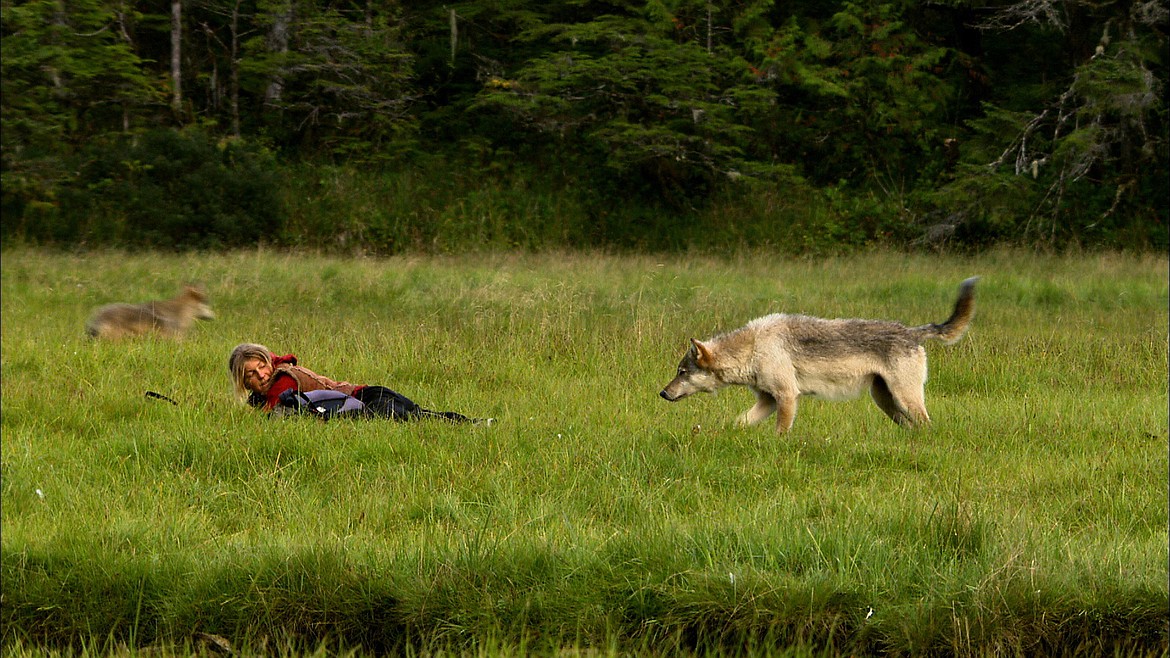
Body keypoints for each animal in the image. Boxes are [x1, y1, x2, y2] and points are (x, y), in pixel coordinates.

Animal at [659, 275, 978, 430]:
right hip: (886, 401)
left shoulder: (787, 397)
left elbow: (780, 432)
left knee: (927, 425)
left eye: (682, 372)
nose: (662, 393)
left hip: (904, 398)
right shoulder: (768, 400)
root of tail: (912, 331)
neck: (753, 349)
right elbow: (738, 423)